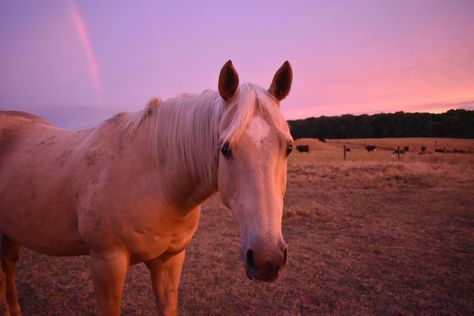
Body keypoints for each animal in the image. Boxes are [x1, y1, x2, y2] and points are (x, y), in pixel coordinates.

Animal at [0, 60, 292, 314]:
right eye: (225, 148)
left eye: (288, 148)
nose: (267, 259)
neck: (156, 181)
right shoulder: (107, 264)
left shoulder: (170, 261)